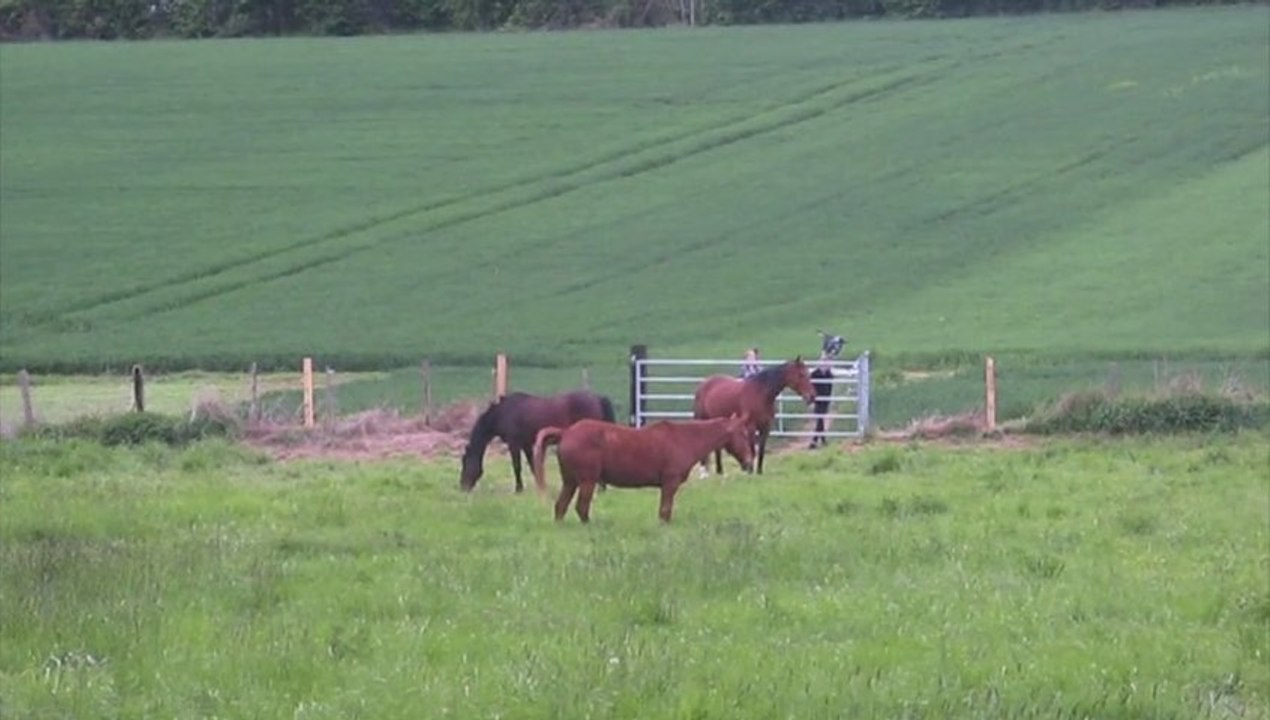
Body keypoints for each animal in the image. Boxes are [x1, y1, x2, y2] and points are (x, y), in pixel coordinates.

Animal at [459, 390, 616, 493]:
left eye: (466, 462)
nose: (462, 487)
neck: (503, 412)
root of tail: (598, 398)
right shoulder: (527, 444)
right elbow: (533, 466)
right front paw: (541, 487)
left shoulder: (514, 444)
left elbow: (517, 467)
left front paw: (519, 489)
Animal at [531, 415, 753, 523]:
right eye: (743, 433)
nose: (750, 463)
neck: (684, 439)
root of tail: (566, 432)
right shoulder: (669, 484)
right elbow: (664, 512)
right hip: (587, 482)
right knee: (581, 508)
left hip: (570, 482)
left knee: (560, 507)